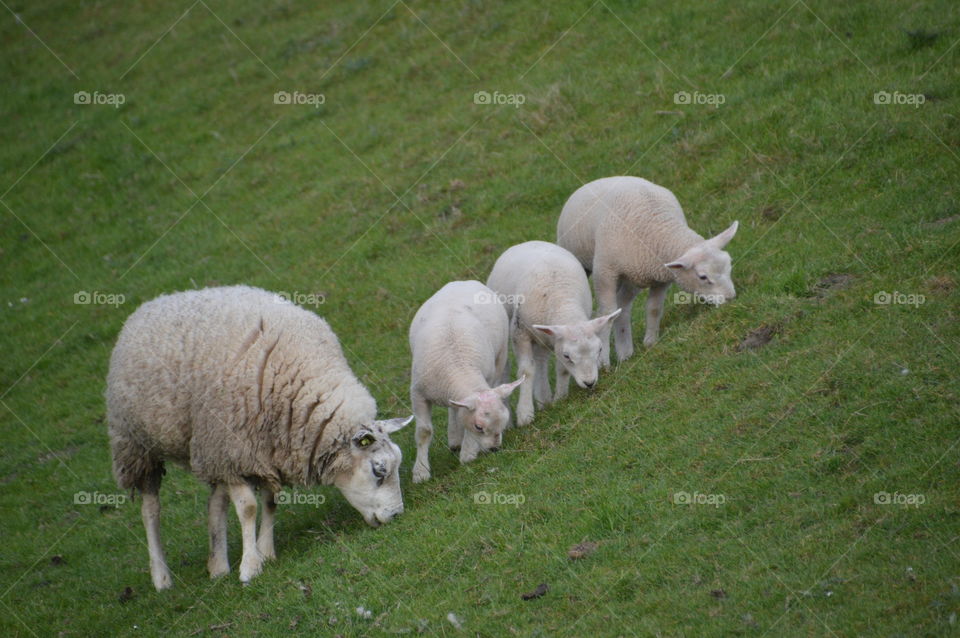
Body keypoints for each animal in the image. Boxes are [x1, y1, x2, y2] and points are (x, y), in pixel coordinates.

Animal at [106, 285, 412, 590]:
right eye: (378, 470)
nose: (397, 515)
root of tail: (148, 305)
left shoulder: (267, 448)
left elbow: (269, 501)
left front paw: (265, 552)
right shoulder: (236, 448)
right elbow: (249, 508)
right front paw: (251, 567)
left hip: (209, 445)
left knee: (215, 502)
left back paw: (218, 566)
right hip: (137, 445)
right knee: (151, 510)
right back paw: (161, 577)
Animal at [408, 280, 524, 483]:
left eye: (503, 420)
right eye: (479, 427)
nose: (494, 449)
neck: (457, 367)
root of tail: (465, 282)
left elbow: (463, 418)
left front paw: (468, 453)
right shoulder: (418, 394)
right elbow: (424, 432)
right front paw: (421, 472)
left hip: (500, 355)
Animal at [486, 241, 621, 426]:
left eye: (600, 350)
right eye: (567, 356)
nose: (589, 383)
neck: (562, 301)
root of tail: (529, 242)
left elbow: (561, 370)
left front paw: (560, 398)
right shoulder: (520, 333)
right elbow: (526, 371)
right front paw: (525, 414)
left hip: (543, 338)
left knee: (541, 361)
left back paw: (544, 399)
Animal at [557, 176, 738, 365]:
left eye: (729, 264)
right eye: (703, 277)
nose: (730, 298)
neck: (655, 225)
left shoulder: (661, 277)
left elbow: (654, 308)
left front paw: (651, 342)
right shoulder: (605, 272)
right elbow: (607, 312)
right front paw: (603, 361)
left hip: (632, 276)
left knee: (623, 306)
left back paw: (625, 353)